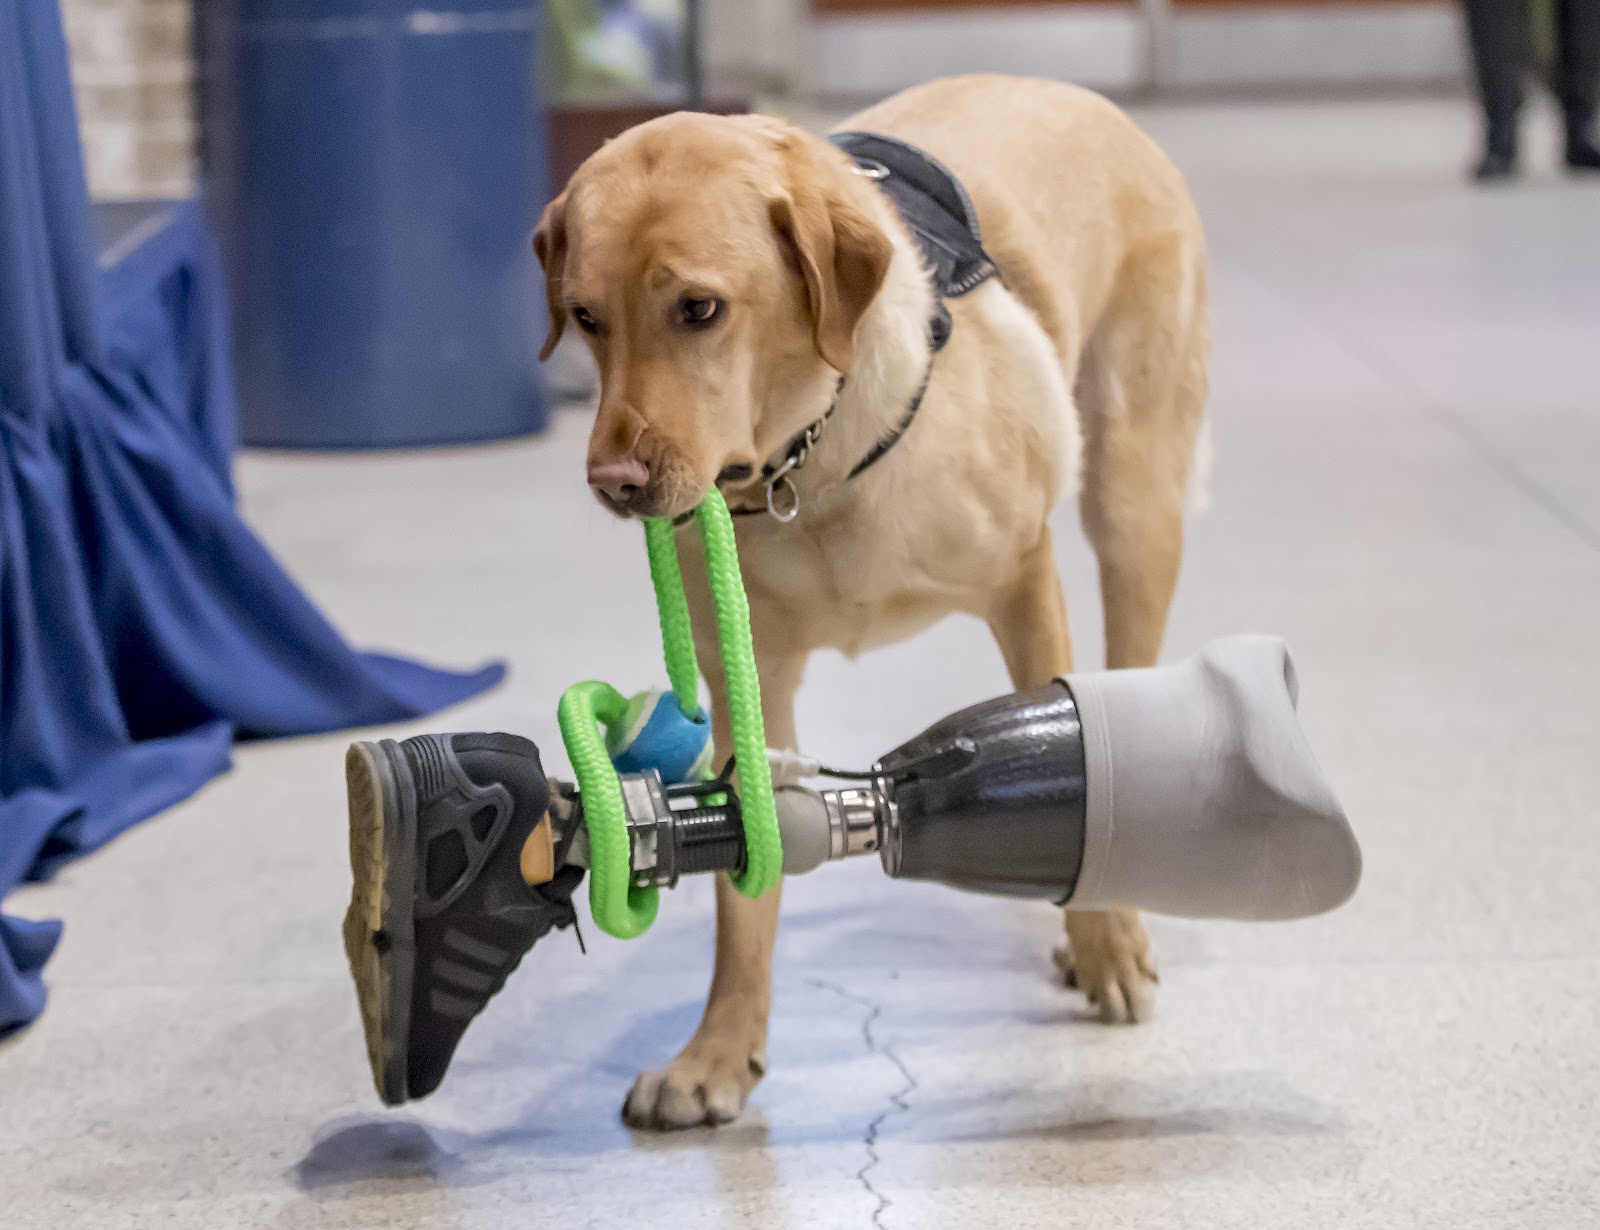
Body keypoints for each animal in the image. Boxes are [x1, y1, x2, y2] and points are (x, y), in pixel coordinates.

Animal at [531, 71, 1203, 1126]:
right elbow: (744, 885)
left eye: (699, 309)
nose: (614, 483)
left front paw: (1102, 944)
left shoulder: (1025, 584)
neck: (807, 466)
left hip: (1136, 505)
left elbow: (1082, 757)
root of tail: (1061, 86)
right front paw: (718, 1052)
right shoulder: (748, 675)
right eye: (587, 316)